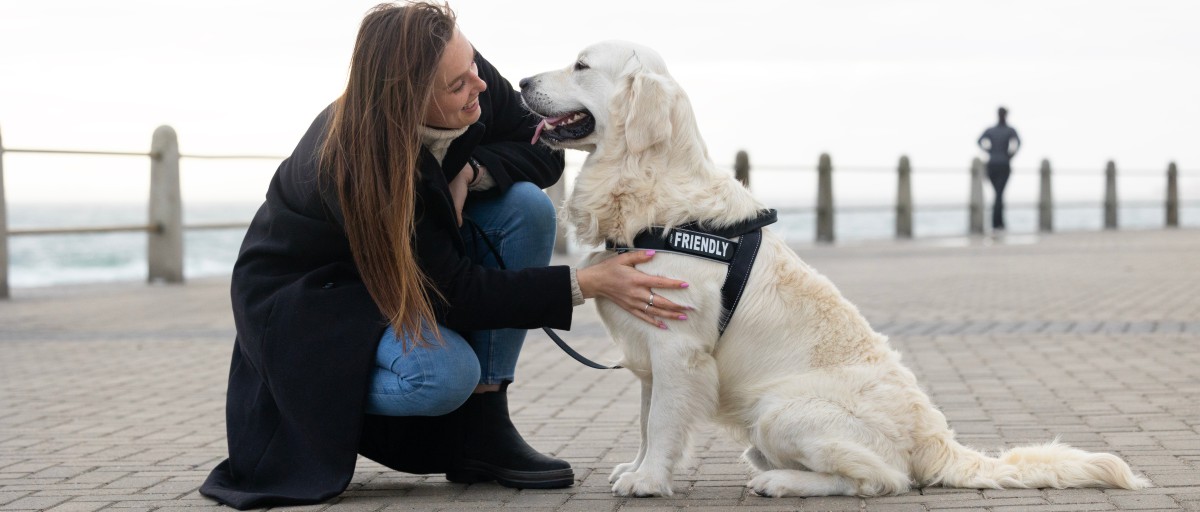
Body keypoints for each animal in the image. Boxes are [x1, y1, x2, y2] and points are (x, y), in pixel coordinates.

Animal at [518, 41, 1152, 498]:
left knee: (882, 479)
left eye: (580, 65)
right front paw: (635, 468)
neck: (650, 188)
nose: (521, 82)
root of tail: (937, 440)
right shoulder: (650, 354)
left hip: (780, 409)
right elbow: (649, 420)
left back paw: (780, 481)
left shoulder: (678, 349)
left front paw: (649, 482)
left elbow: (666, 423)